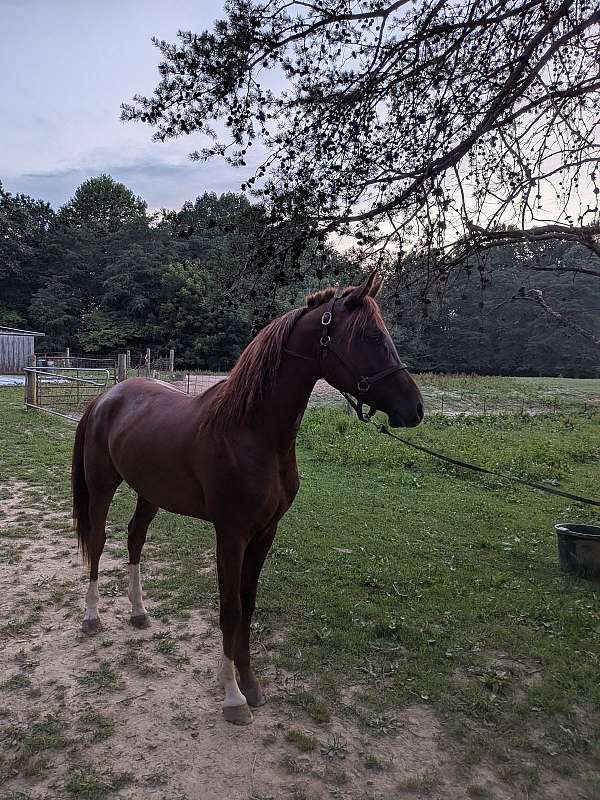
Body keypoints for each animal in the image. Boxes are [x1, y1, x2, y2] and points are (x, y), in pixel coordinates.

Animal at [71, 271, 424, 724]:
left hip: (149, 493)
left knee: (135, 538)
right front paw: (232, 697)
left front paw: (251, 684)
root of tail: (104, 398)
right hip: (102, 487)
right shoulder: (231, 535)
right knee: (98, 542)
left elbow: (249, 604)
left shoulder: (265, 533)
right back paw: (92, 617)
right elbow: (230, 609)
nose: (414, 408)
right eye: (372, 337)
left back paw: (138, 612)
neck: (250, 433)